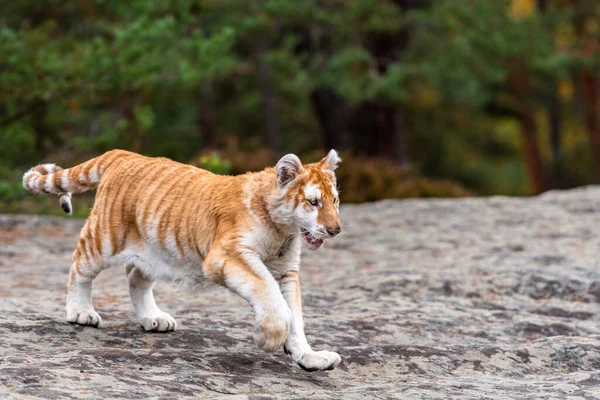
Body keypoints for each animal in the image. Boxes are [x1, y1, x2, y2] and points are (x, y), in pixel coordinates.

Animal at [22, 149, 342, 372]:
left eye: (335, 200)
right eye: (313, 202)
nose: (335, 230)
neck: (283, 231)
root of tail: (123, 154)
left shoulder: (286, 272)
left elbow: (295, 315)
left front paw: (310, 357)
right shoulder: (229, 254)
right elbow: (271, 297)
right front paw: (268, 339)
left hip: (155, 251)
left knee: (135, 278)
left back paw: (154, 318)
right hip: (104, 240)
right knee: (79, 265)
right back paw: (80, 312)